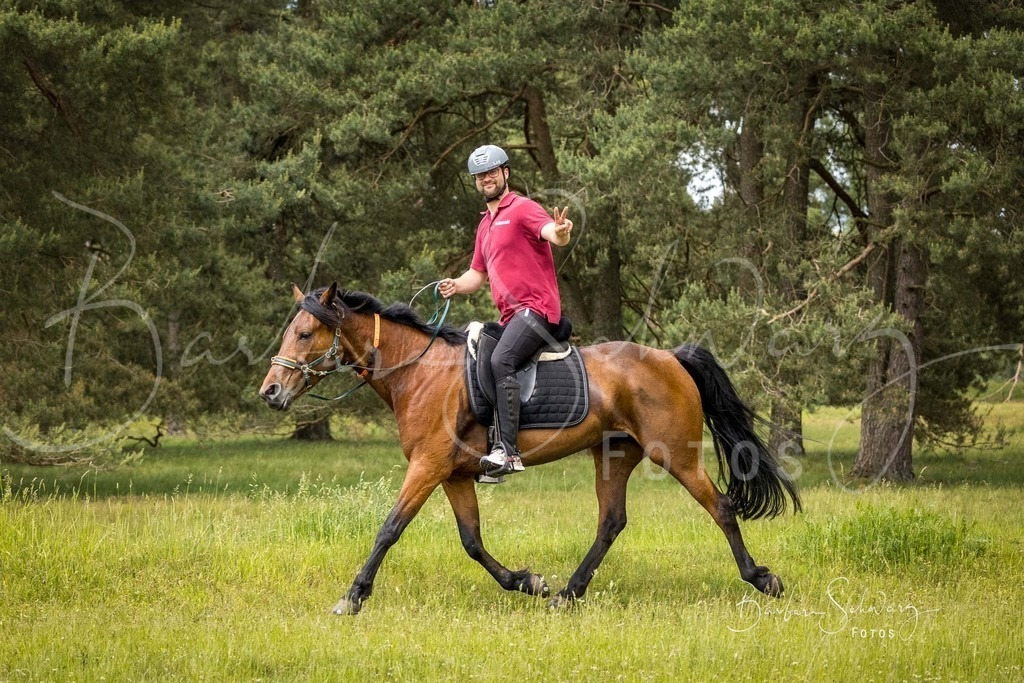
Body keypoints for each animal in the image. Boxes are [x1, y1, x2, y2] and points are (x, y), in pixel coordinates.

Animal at [259, 283, 801, 615]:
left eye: (304, 333)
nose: (270, 392)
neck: (418, 370)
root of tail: (670, 356)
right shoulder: (453, 473)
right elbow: (472, 542)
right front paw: (528, 582)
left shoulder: (428, 466)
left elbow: (389, 529)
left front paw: (353, 597)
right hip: (614, 454)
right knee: (611, 522)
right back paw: (567, 593)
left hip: (677, 455)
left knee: (722, 507)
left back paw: (761, 578)